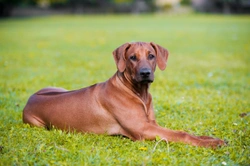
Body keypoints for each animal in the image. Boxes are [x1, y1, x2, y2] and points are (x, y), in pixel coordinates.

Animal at [23, 41, 225, 148]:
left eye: (151, 56)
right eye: (132, 57)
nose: (145, 73)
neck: (139, 93)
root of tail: (29, 99)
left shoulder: (151, 124)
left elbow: (184, 131)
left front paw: (209, 139)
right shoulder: (144, 129)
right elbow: (182, 134)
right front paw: (210, 143)